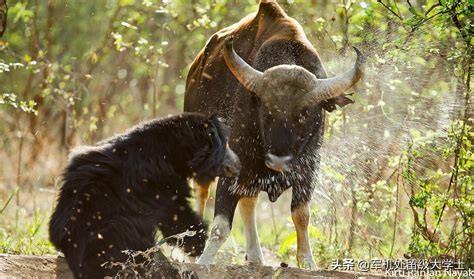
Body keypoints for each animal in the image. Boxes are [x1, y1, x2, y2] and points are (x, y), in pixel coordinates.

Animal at [50, 112, 241, 278]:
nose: (238, 166)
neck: (173, 150)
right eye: (224, 146)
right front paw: (198, 243)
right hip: (118, 231)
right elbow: (176, 213)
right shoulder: (160, 181)